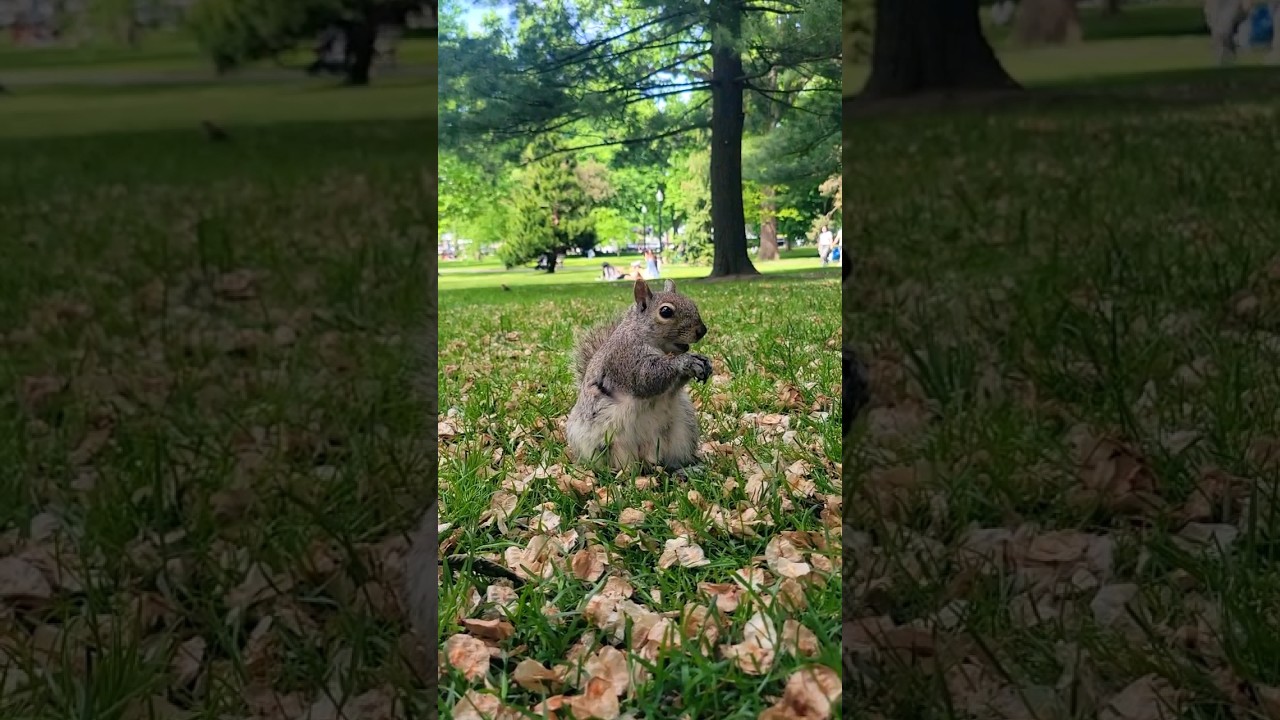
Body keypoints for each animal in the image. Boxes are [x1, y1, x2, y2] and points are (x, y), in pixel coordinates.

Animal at [565, 277, 711, 471]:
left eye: (692, 303)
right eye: (665, 311)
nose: (702, 330)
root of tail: (646, 456)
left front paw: (703, 362)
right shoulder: (624, 359)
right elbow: (645, 378)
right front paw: (684, 362)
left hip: (683, 432)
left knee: (671, 462)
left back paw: (687, 469)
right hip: (604, 445)